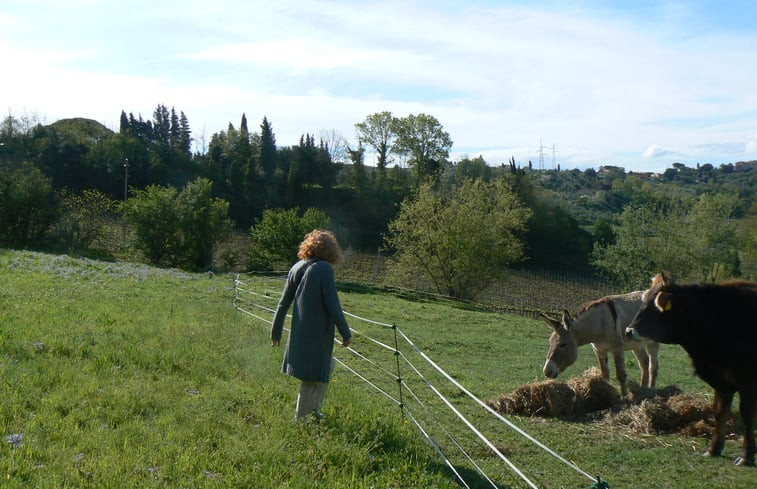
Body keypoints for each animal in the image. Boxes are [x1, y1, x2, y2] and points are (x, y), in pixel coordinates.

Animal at [628, 272, 756, 468]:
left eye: (655, 307)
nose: (628, 331)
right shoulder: (722, 382)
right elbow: (720, 412)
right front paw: (713, 449)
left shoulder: (747, 381)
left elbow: (747, 416)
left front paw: (746, 456)